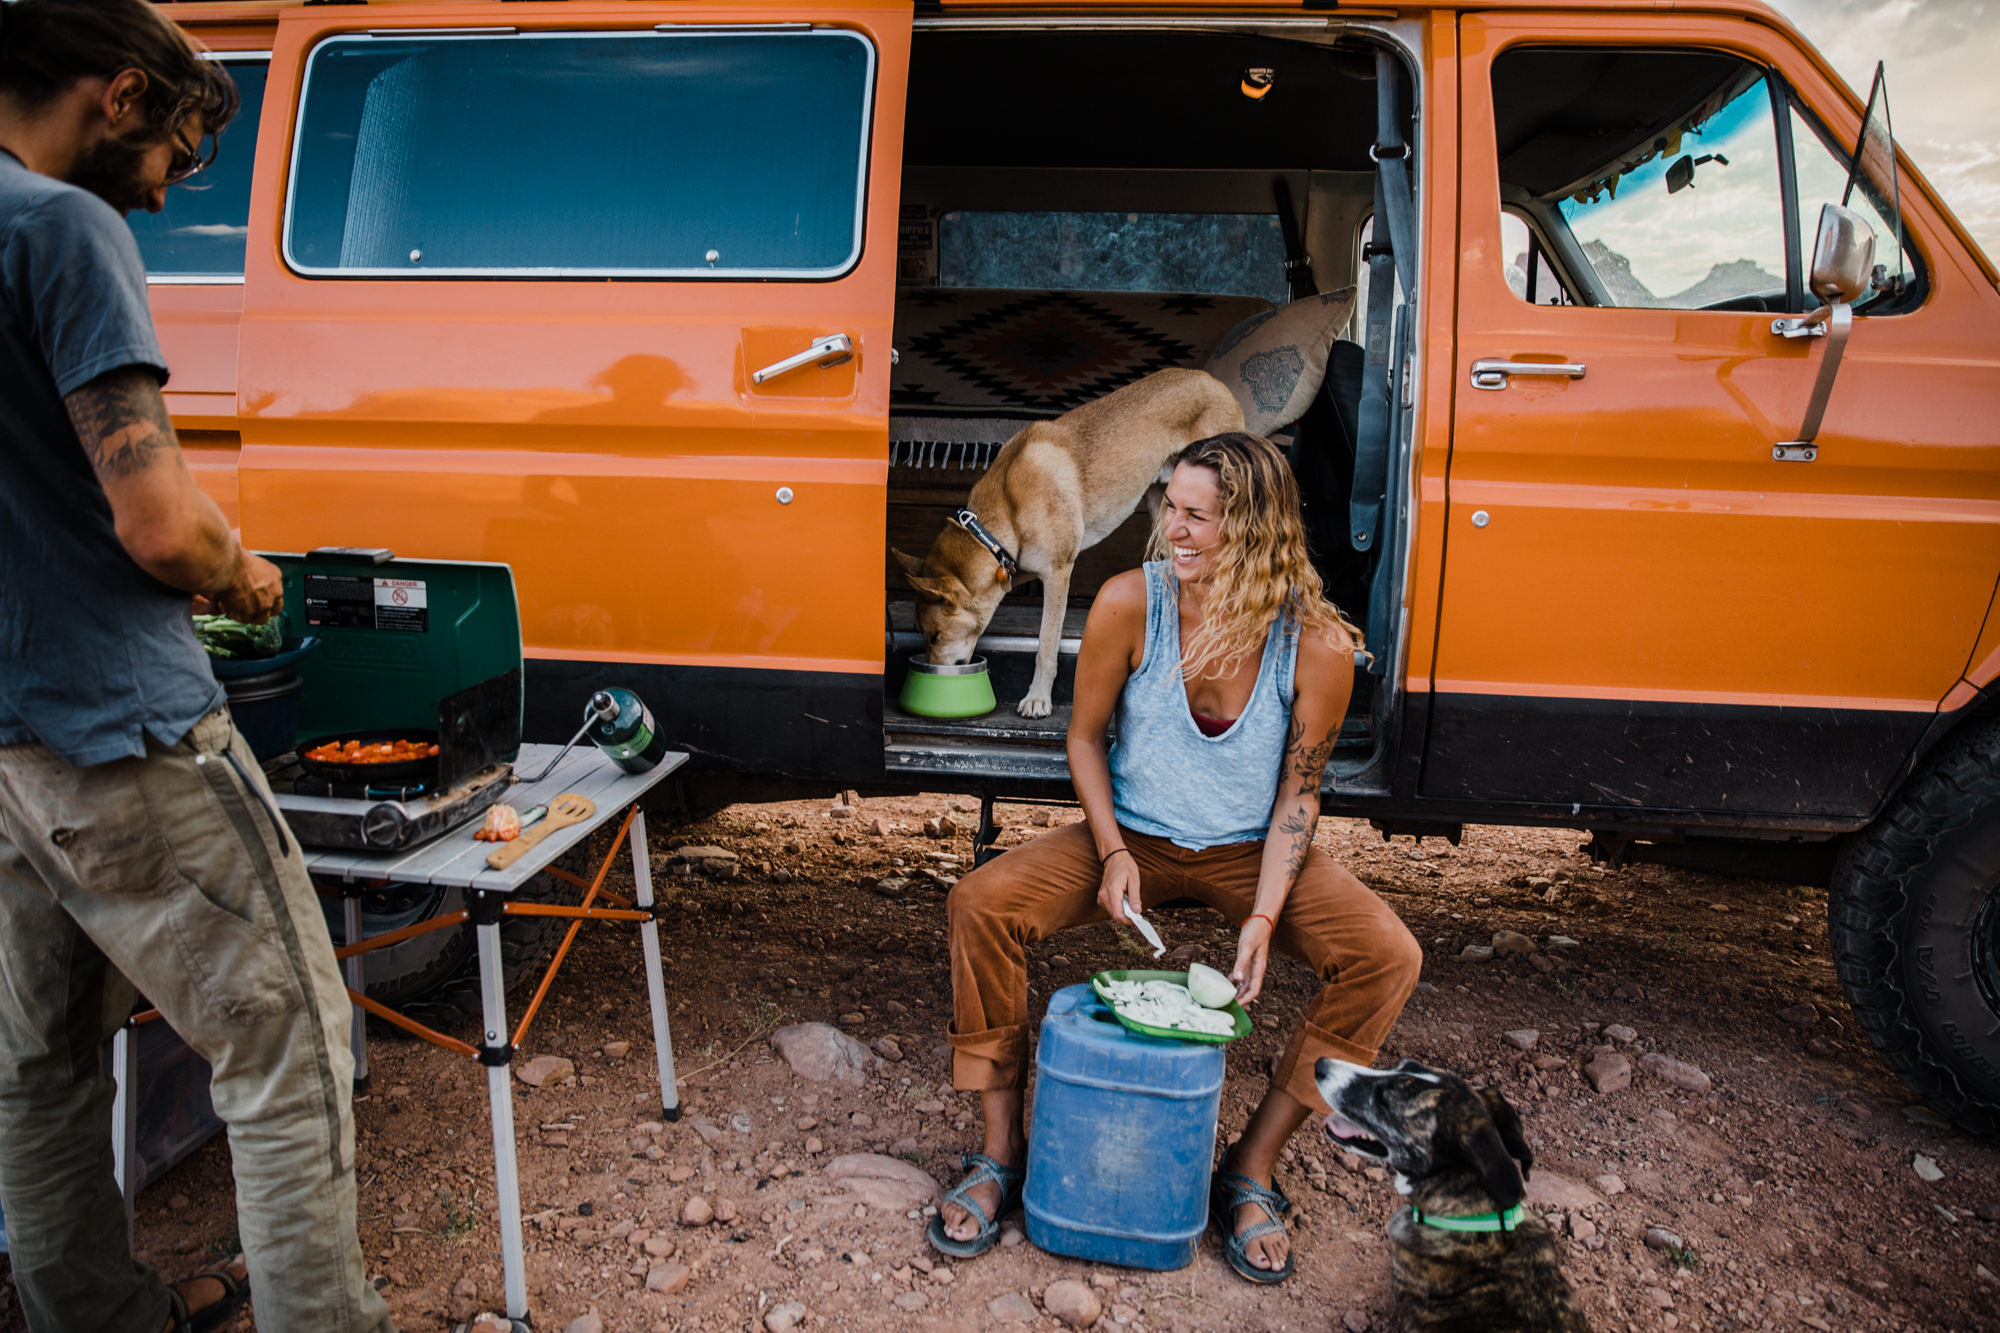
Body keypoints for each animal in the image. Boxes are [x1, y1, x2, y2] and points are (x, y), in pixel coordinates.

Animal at [900, 364, 1240, 716]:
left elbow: (1046, 645)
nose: (934, 672)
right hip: (1164, 509)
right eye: (924, 636)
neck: (1000, 521)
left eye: (935, 636)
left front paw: (1038, 697)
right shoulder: (1018, 569)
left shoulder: (1057, 574)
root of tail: (1208, 378)